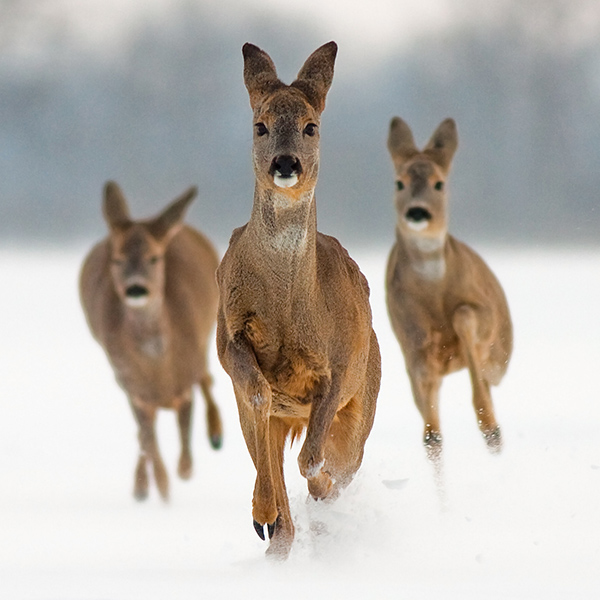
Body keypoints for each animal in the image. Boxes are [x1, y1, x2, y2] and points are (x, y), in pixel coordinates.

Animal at [78, 183, 221, 502]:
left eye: (154, 258)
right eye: (117, 260)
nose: (135, 289)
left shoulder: (184, 380)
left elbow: (184, 446)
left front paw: (183, 471)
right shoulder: (132, 388)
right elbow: (149, 444)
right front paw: (160, 490)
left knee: (208, 378)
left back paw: (216, 434)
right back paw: (142, 487)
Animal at [218, 42, 382, 556]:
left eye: (312, 126)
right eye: (260, 125)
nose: (286, 163)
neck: (290, 307)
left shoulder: (341, 364)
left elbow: (313, 460)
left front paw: (320, 497)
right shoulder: (228, 336)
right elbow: (257, 392)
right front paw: (265, 513)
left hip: (365, 399)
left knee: (337, 462)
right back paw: (271, 525)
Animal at [386, 118, 512, 464]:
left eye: (439, 183)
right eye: (399, 183)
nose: (417, 212)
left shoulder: (484, 315)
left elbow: (464, 314)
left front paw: (489, 425)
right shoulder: (411, 343)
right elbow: (431, 433)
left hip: (500, 357)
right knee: (433, 433)